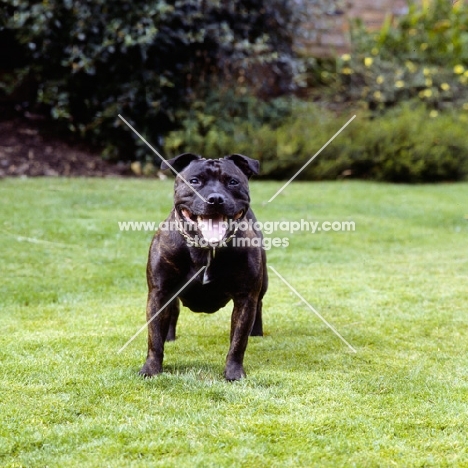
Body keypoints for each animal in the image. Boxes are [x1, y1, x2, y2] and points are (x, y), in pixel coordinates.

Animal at [139, 154, 268, 380]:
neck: (206, 249)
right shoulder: (159, 293)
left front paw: (234, 372)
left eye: (232, 182)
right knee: (173, 310)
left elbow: (238, 342)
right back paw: (169, 337)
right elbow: (153, 337)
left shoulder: (245, 297)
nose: (215, 199)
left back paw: (257, 333)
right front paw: (151, 368)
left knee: (259, 305)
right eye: (195, 181)